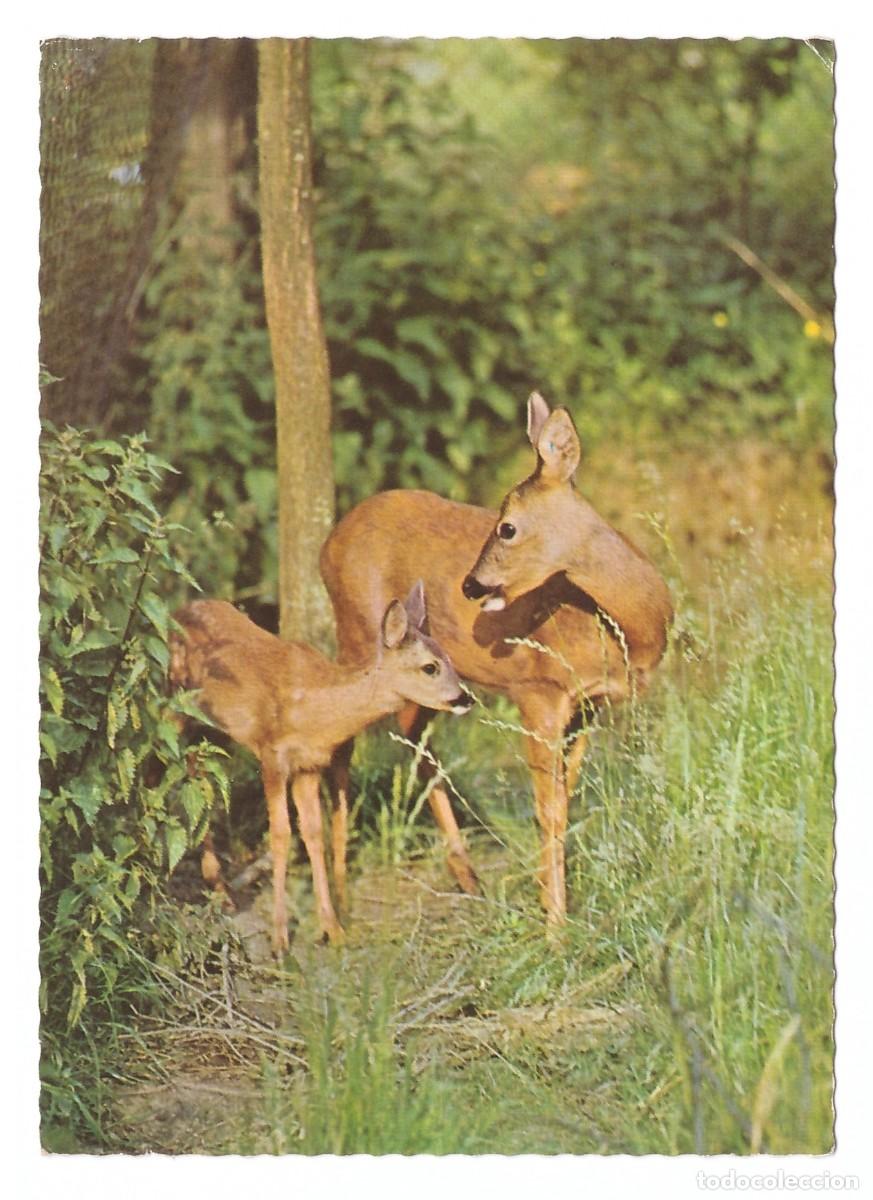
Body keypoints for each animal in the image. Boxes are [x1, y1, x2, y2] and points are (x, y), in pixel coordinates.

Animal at [168, 584, 473, 954]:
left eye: (449, 658)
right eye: (430, 667)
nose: (465, 699)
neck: (318, 707)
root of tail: (179, 610)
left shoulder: (309, 765)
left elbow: (314, 833)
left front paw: (333, 929)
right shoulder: (273, 755)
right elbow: (281, 835)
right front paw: (280, 940)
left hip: (212, 729)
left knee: (204, 779)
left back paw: (220, 888)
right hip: (177, 706)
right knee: (181, 768)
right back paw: (216, 885)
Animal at [320, 392, 673, 928]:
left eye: (507, 527)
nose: (470, 585)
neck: (622, 630)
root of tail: (327, 545)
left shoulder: (589, 707)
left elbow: (564, 800)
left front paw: (552, 899)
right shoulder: (538, 692)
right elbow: (548, 809)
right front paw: (555, 924)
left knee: (413, 733)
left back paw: (466, 875)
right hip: (358, 633)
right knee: (343, 742)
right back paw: (340, 899)